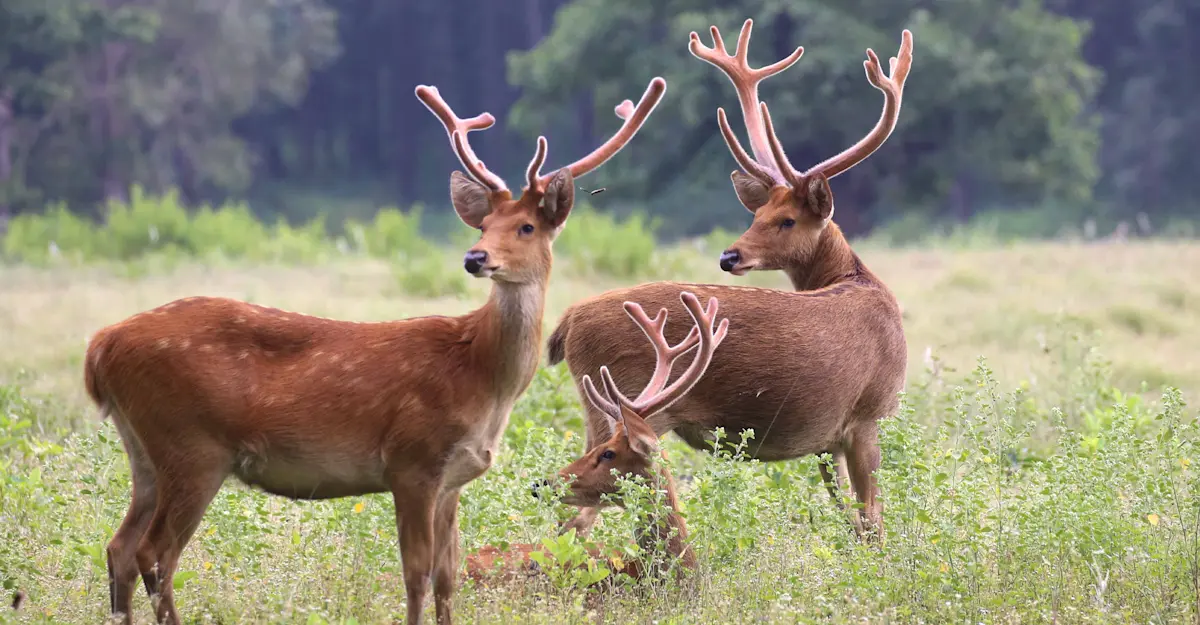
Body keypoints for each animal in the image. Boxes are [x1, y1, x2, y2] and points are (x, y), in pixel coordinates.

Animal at [83, 75, 667, 625]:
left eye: (525, 226)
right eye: (483, 225)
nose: (475, 257)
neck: (480, 375)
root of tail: (100, 346)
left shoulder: (453, 476)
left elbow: (448, 575)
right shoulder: (411, 459)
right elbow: (416, 573)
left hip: (147, 451)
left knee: (119, 547)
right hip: (192, 444)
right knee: (155, 553)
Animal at [546, 20, 913, 543]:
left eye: (785, 220)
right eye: (759, 215)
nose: (728, 255)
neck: (858, 282)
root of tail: (568, 321)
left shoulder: (828, 439)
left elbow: (847, 517)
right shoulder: (866, 415)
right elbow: (872, 522)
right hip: (623, 405)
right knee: (577, 515)